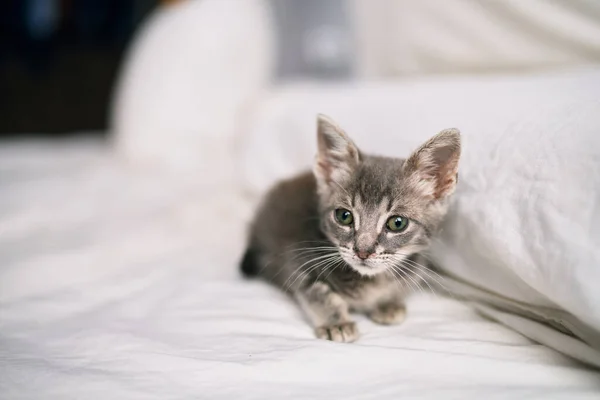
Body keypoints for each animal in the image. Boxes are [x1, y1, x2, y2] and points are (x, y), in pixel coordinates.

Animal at [241, 114, 462, 342]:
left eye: (397, 223)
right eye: (344, 216)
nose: (363, 251)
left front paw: (389, 302)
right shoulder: (296, 259)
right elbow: (316, 292)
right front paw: (336, 321)